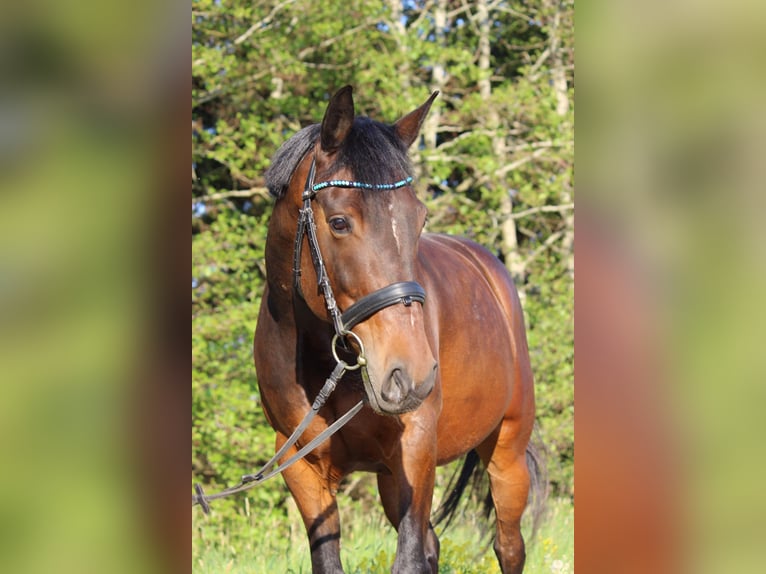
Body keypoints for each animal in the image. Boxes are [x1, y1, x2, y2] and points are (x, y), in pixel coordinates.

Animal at [255, 86, 544, 574]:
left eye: (419, 218)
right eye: (338, 222)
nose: (410, 374)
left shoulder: (416, 447)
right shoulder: (302, 467)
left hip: (506, 453)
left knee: (508, 546)